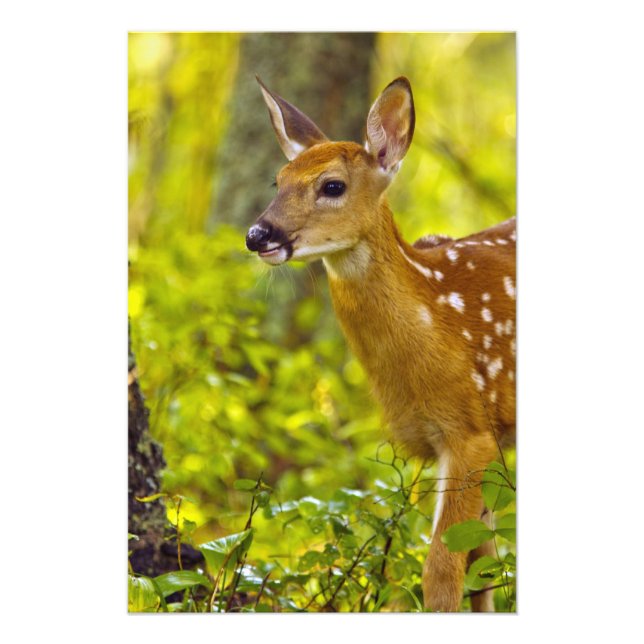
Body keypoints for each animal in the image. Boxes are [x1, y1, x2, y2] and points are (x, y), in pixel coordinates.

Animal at [245, 75, 516, 612]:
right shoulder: (478, 438)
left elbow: (443, 569)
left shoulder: (470, 431)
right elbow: (482, 564)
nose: (257, 234)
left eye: (332, 185)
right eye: (278, 181)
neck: (438, 320)